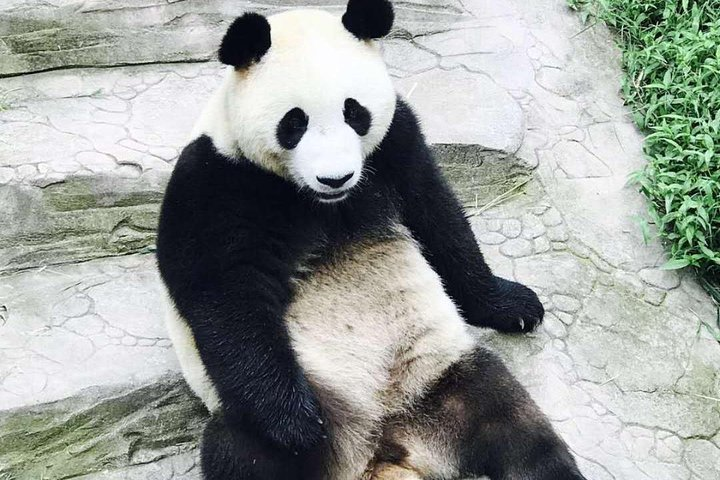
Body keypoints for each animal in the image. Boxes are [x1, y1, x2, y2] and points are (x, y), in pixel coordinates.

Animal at [156, 1, 587, 479]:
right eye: (294, 123)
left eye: (354, 112)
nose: (336, 177)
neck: (320, 201)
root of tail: (387, 449)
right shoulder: (216, 183)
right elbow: (225, 297)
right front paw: (298, 423)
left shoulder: (396, 142)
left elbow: (439, 220)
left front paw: (515, 305)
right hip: (300, 412)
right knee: (241, 452)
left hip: (445, 377)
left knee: (517, 429)